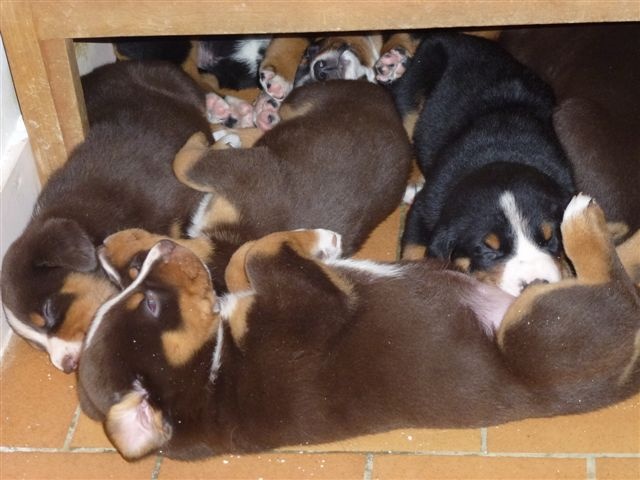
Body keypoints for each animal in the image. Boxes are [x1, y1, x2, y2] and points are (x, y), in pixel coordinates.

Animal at [79, 195, 640, 462]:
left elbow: (240, 257)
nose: (161, 248)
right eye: (152, 304)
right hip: (534, 329)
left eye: (139, 287)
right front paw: (323, 240)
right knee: (618, 290)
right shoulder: (316, 304)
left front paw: (318, 242)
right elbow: (256, 253)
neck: (212, 370)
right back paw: (583, 219)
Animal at [97, 79, 412, 292]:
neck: (225, 242)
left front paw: (205, 139)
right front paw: (222, 140)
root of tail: (387, 102)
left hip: (305, 97)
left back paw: (259, 110)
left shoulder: (245, 172)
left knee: (281, 110)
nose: (102, 247)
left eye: (137, 267)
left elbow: (184, 162)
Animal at [392, 32, 576, 296]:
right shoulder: (425, 209)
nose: (536, 284)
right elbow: (416, 250)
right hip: (413, 90)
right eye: (489, 249)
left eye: (550, 238)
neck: (504, 153)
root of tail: (447, 35)